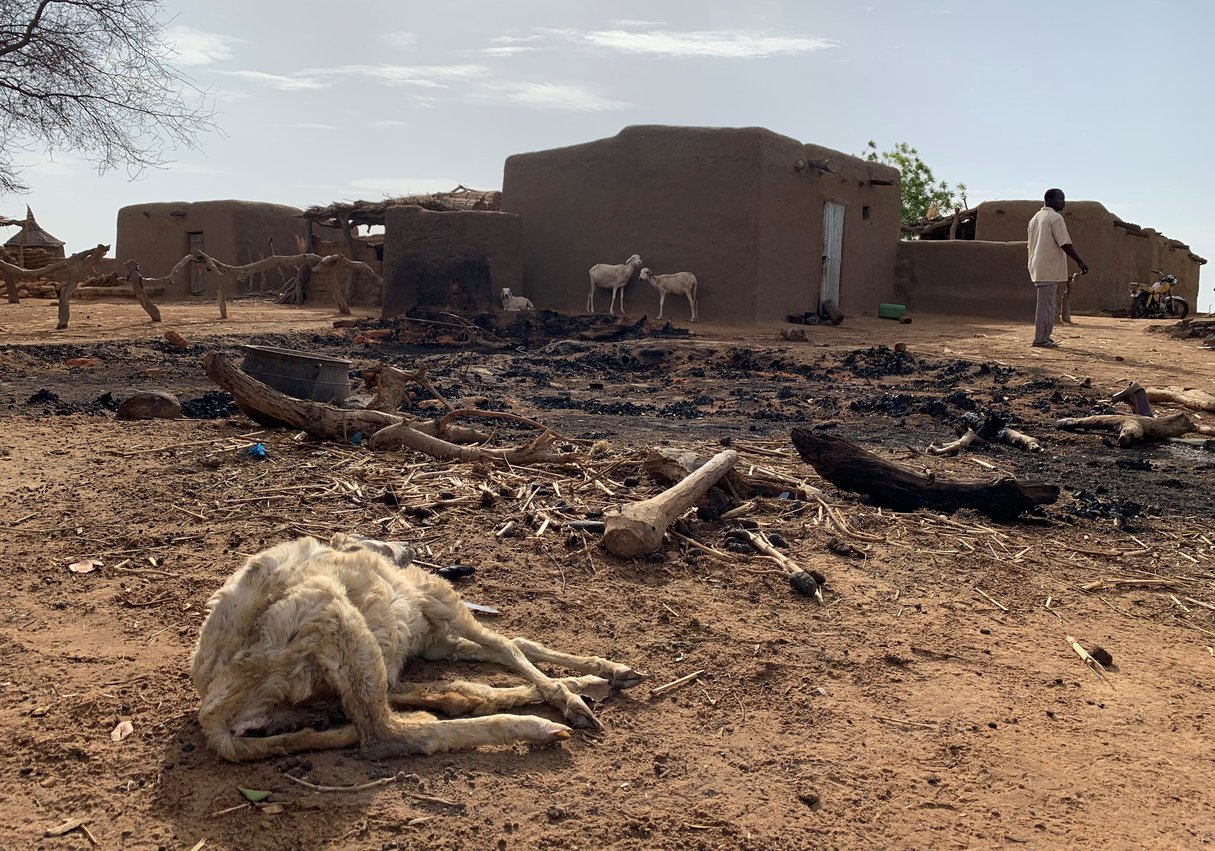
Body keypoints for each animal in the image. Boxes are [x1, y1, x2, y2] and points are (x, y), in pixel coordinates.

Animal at [190, 532, 646, 763]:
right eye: (372, 535)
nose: (406, 548)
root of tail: (213, 716)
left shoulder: (436, 639)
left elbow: (517, 644)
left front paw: (604, 671)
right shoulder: (440, 602)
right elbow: (507, 646)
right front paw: (569, 696)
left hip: (330, 673)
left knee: (412, 703)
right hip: (331, 615)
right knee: (383, 736)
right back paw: (533, 726)